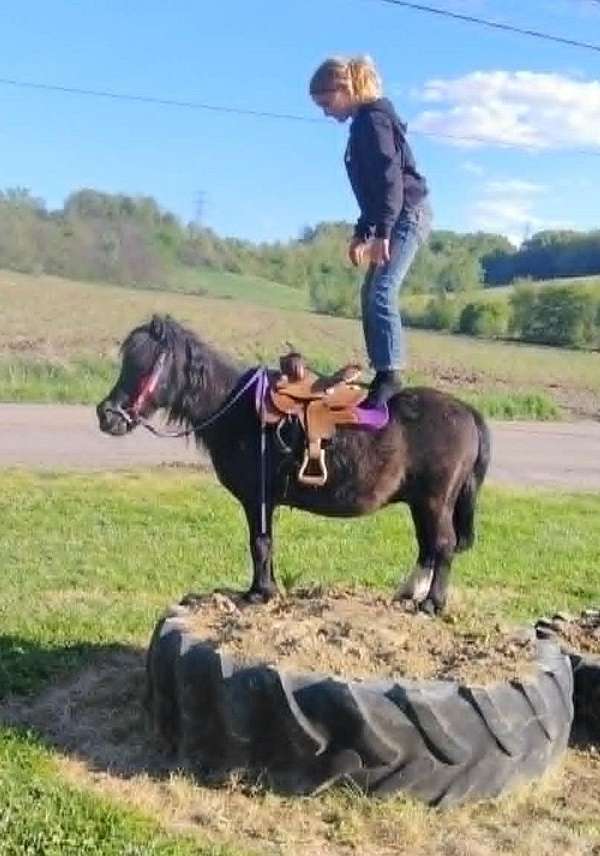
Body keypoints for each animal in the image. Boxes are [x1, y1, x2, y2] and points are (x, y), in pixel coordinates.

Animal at [96, 314, 491, 615]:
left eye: (145, 364)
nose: (107, 415)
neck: (237, 409)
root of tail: (467, 412)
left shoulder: (257, 499)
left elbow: (259, 543)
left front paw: (259, 593)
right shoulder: (263, 501)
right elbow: (264, 543)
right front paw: (264, 589)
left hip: (435, 501)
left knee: (443, 544)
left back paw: (432, 604)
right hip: (421, 503)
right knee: (427, 546)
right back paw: (409, 593)